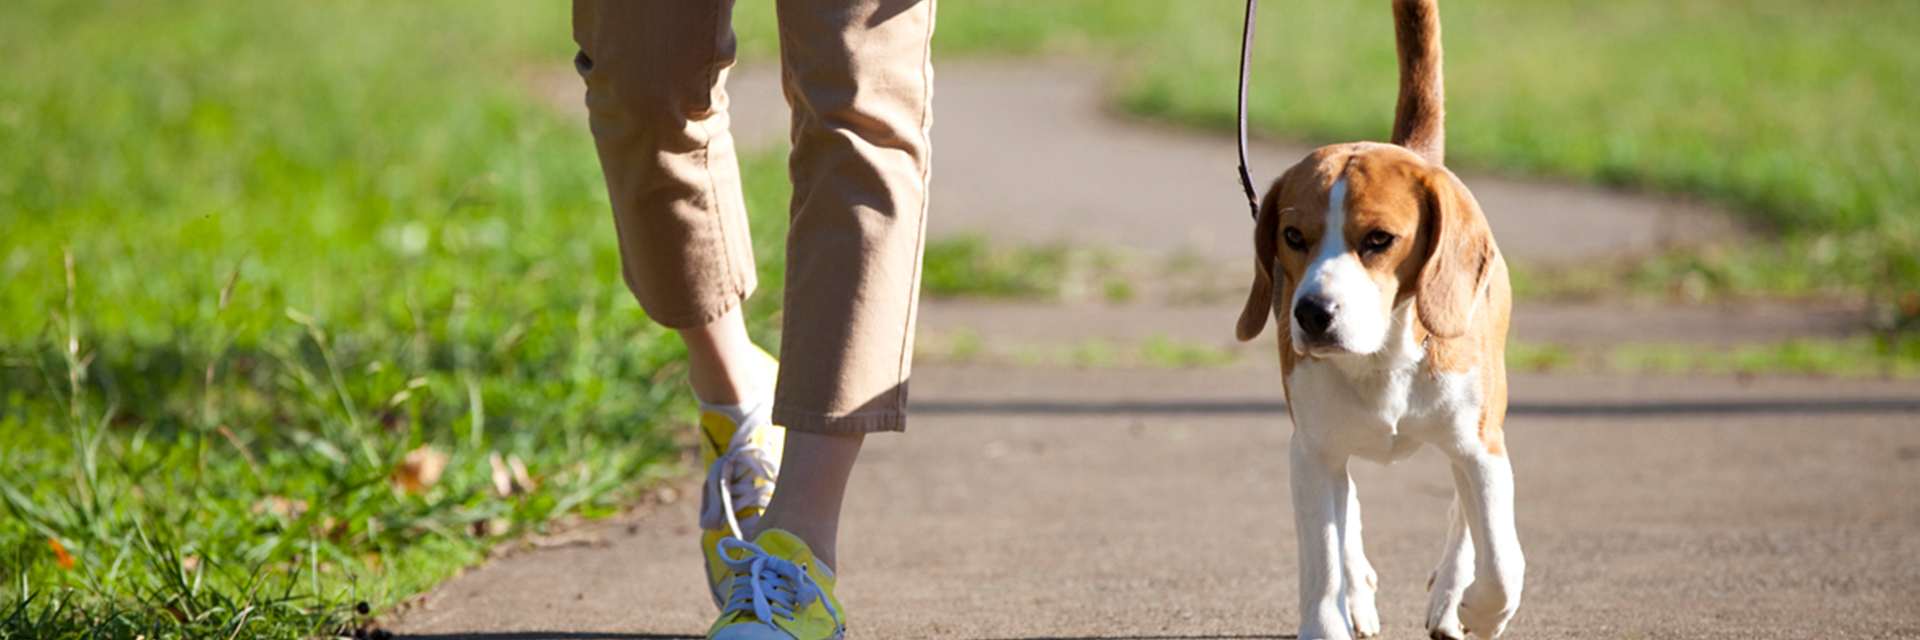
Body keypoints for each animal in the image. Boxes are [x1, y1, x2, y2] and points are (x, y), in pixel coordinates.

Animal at [1236, 2, 1520, 634]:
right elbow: (1322, 561)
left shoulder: (1482, 449)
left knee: (1464, 513)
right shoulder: (1311, 454)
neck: (1382, 359)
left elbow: (1499, 558)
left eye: (1379, 239)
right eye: (1293, 237)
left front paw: (1478, 609)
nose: (1311, 314)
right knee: (1347, 513)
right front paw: (1331, 618)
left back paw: (1450, 596)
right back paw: (1360, 593)